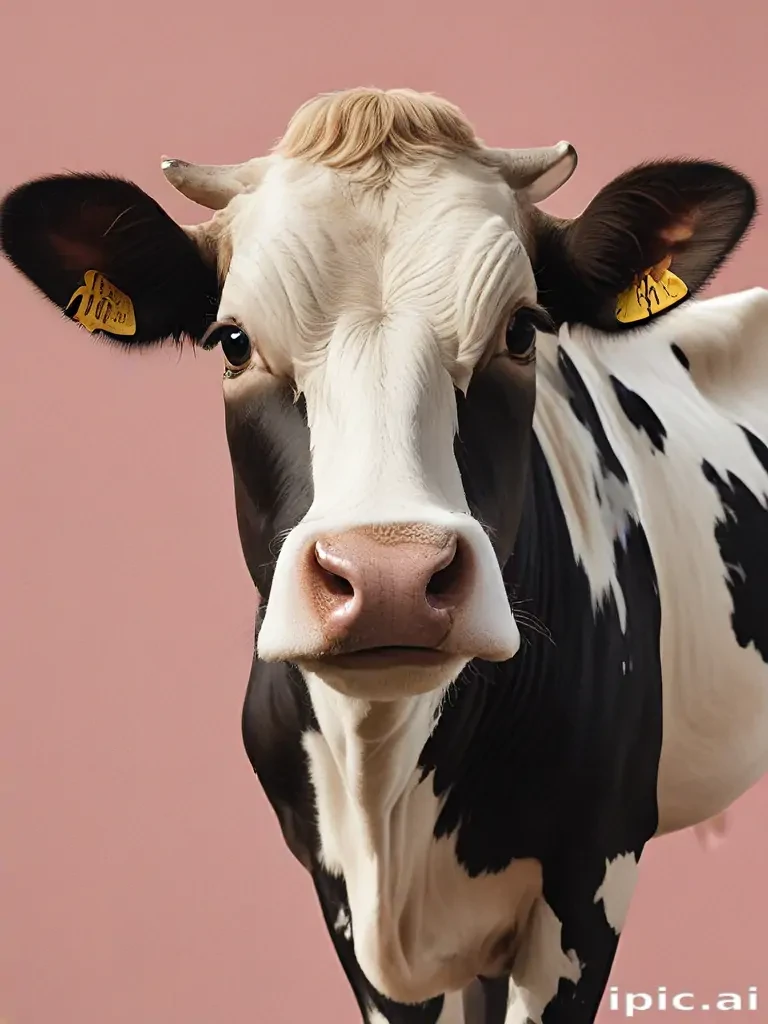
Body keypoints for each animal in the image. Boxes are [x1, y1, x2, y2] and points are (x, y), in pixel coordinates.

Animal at [2, 87, 767, 1024]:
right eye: (232, 341)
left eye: (523, 331)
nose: (390, 575)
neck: (386, 795)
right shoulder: (337, 893)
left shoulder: (592, 876)